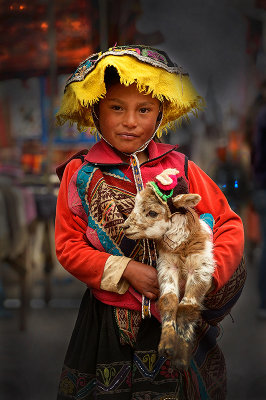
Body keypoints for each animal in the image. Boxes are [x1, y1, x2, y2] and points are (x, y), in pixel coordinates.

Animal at [123, 169, 215, 368]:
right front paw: (167, 345)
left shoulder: (200, 268)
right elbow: (169, 301)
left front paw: (181, 354)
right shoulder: (167, 266)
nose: (125, 227)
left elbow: (187, 306)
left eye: (152, 212)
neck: (180, 247)